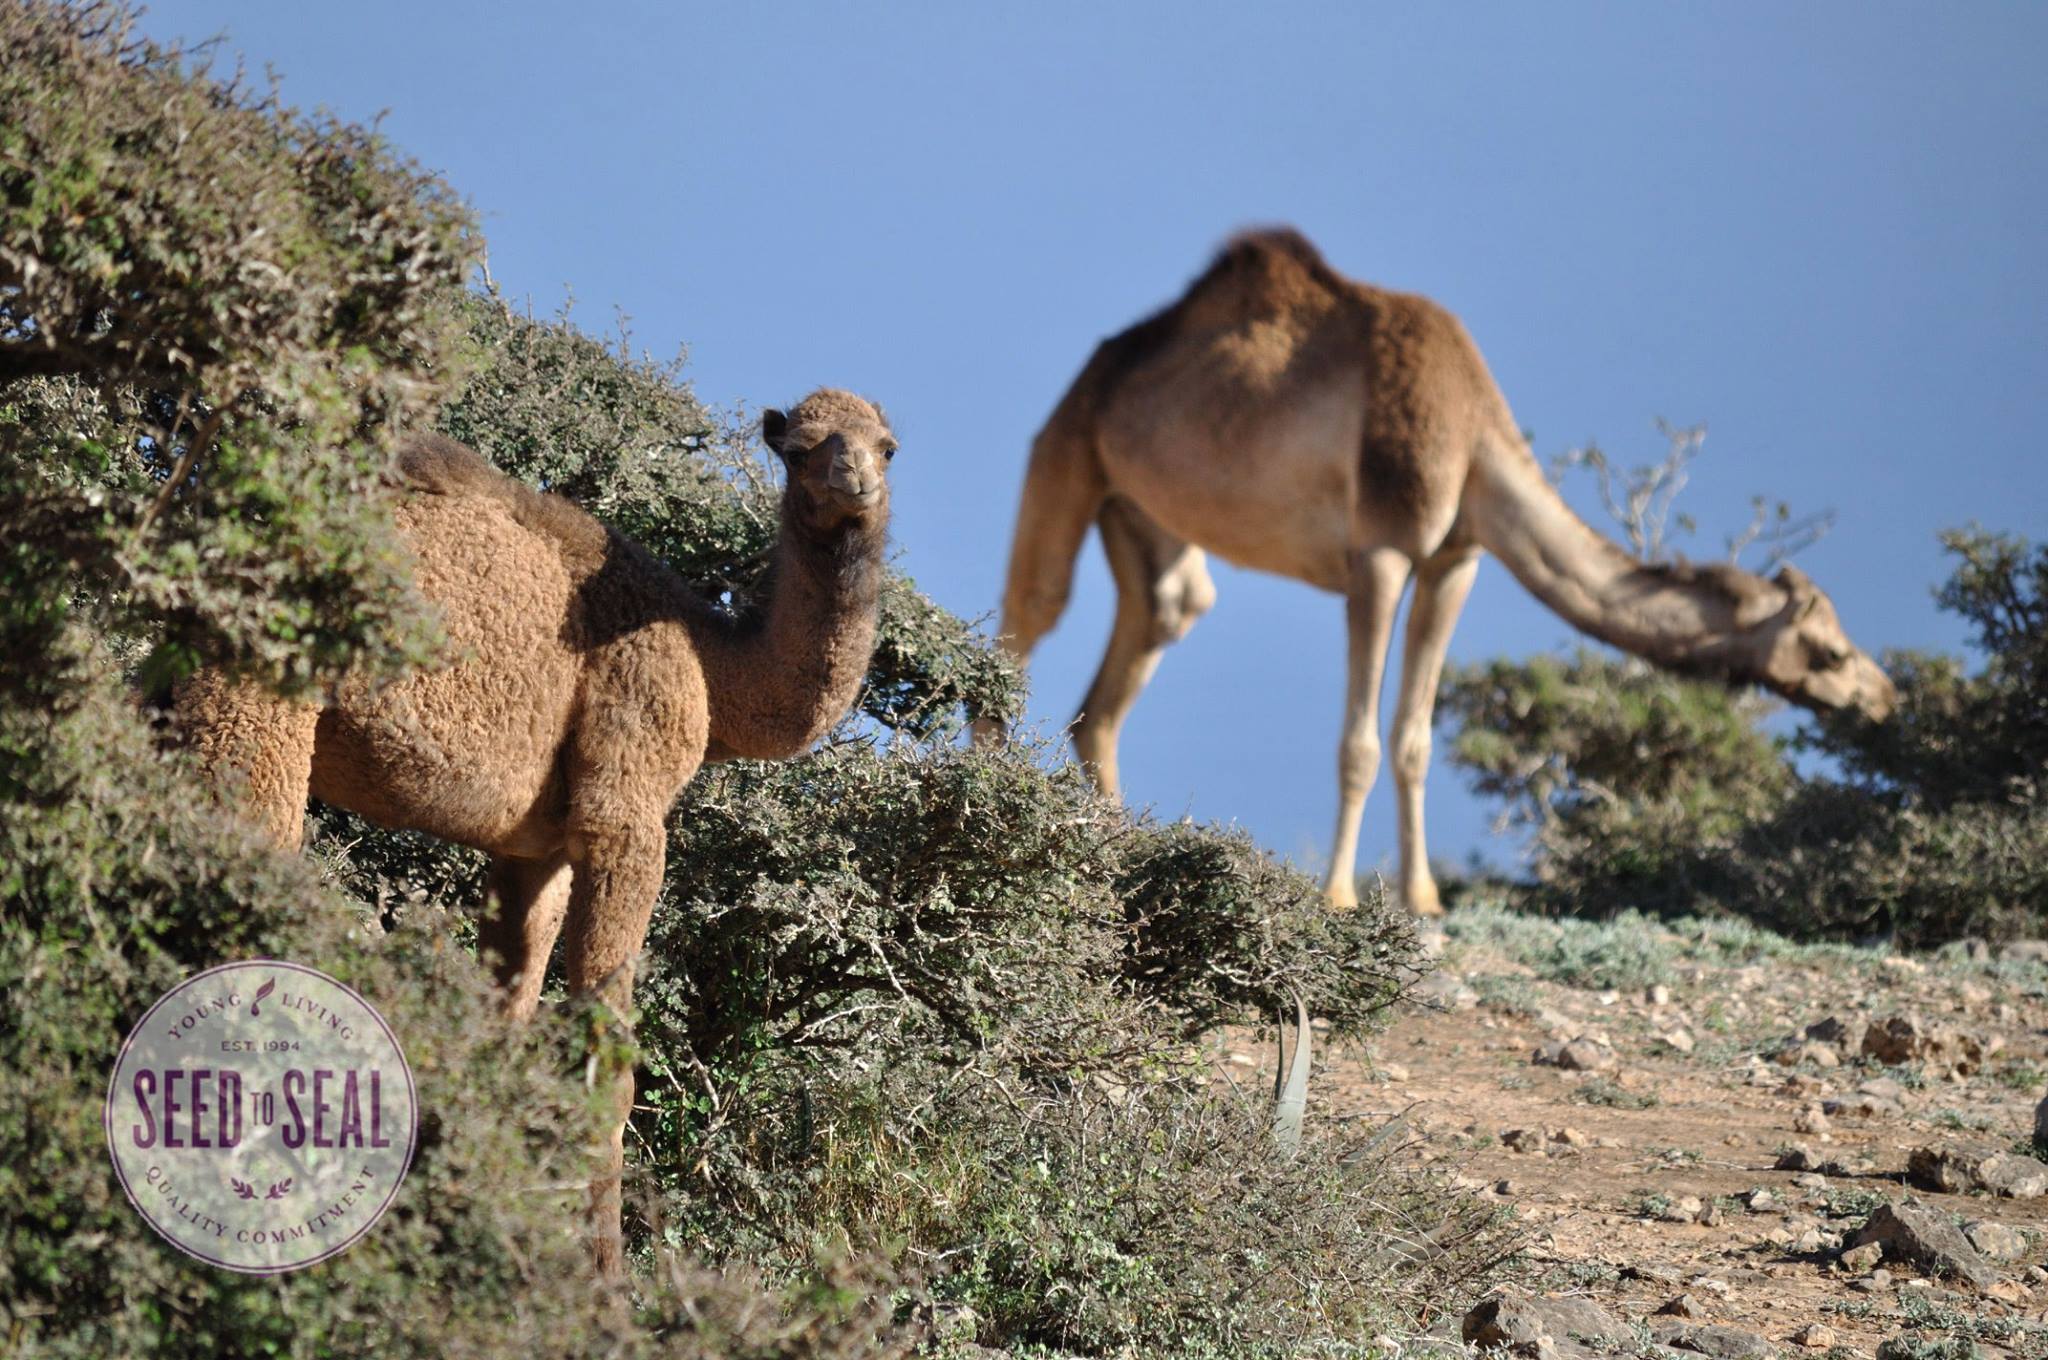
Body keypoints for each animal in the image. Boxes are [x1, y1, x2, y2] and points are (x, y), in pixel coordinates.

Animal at [178, 388, 897, 1277]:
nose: (853, 479)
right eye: (798, 449)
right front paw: (605, 1280)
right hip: (259, 691)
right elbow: (608, 1067)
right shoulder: (626, 807)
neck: (711, 665)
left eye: (887, 446)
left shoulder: (536, 847)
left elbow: (506, 1020)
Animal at [984, 230, 1895, 916]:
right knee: (1027, 618)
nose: (1883, 699)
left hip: (1147, 518)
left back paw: (1118, 853)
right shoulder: (1382, 553)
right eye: (1829, 650)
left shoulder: (1458, 561)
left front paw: (1425, 903)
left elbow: (1415, 737)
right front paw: (1341, 896)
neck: (1474, 438)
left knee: (1137, 653)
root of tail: (1102, 367)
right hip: (1067, 451)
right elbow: (1358, 740)